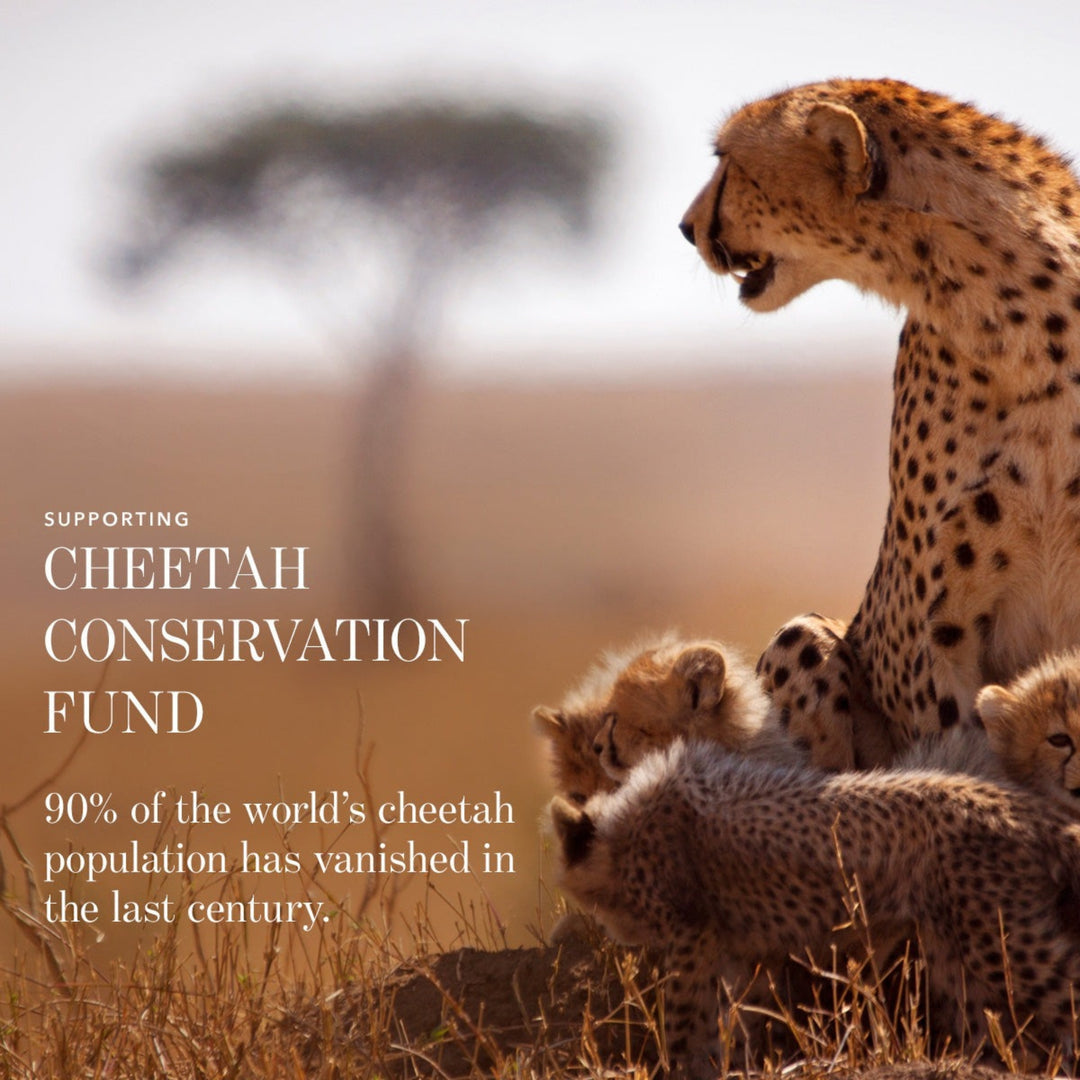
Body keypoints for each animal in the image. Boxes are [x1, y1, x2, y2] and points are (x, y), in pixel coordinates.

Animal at [551, 739, 1080, 1078]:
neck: (620, 833)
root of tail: (1024, 805)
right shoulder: (737, 949)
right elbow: (734, 1017)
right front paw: (734, 1062)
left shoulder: (692, 938)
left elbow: (687, 1018)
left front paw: (681, 1064)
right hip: (954, 942)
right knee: (977, 1017)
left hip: (1002, 938)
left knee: (1064, 993)